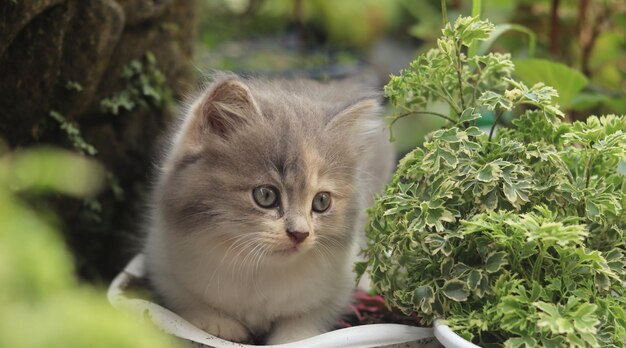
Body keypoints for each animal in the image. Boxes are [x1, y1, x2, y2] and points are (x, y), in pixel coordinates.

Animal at [144, 75, 392, 344]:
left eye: (321, 201)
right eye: (265, 195)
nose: (300, 234)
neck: (258, 267)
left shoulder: (336, 287)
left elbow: (305, 319)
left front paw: (292, 337)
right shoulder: (162, 259)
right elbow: (188, 301)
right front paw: (219, 325)